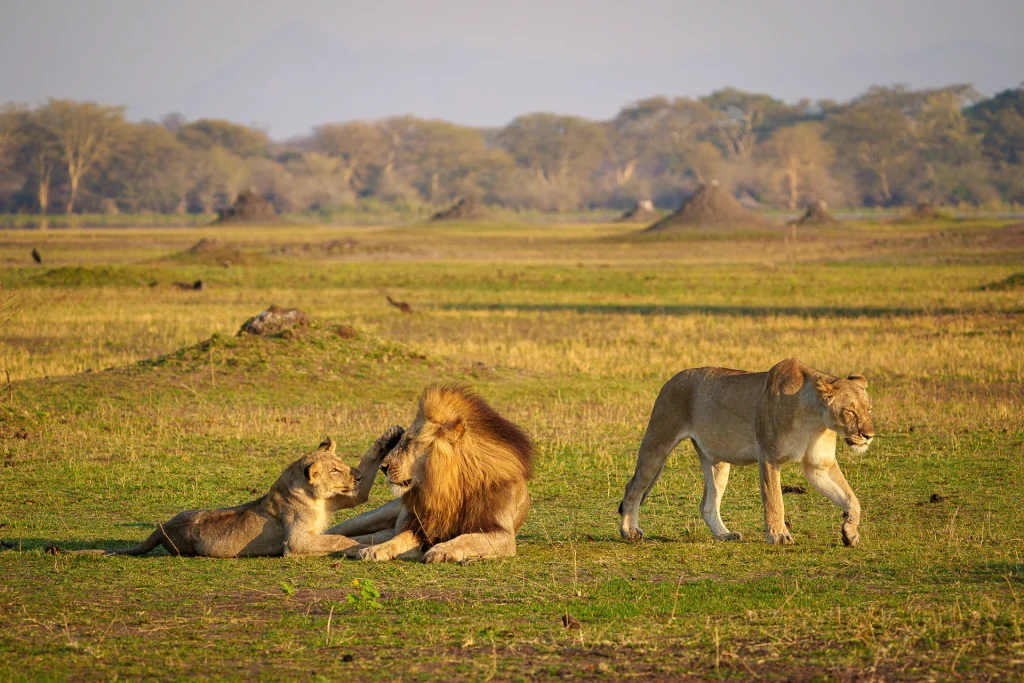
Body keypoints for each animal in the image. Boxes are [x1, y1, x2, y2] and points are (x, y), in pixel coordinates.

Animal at [74, 430, 403, 557]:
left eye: (342, 465)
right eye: (334, 470)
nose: (354, 476)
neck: (312, 494)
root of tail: (161, 527)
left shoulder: (347, 498)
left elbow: (363, 488)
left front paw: (387, 438)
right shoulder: (294, 542)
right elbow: (335, 539)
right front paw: (359, 545)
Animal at [331, 385, 536, 565]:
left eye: (409, 441)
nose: (384, 467)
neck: (448, 486)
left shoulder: (503, 535)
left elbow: (466, 538)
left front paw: (442, 550)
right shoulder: (420, 529)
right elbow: (398, 539)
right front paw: (375, 550)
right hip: (374, 517)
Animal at [618, 360, 876, 548]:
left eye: (869, 410)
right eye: (850, 411)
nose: (869, 435)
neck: (815, 419)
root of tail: (672, 379)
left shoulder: (819, 465)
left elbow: (851, 499)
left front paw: (850, 533)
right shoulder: (769, 456)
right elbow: (774, 500)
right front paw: (779, 536)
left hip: (717, 460)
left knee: (707, 505)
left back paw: (725, 535)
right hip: (658, 441)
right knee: (634, 487)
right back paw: (629, 531)